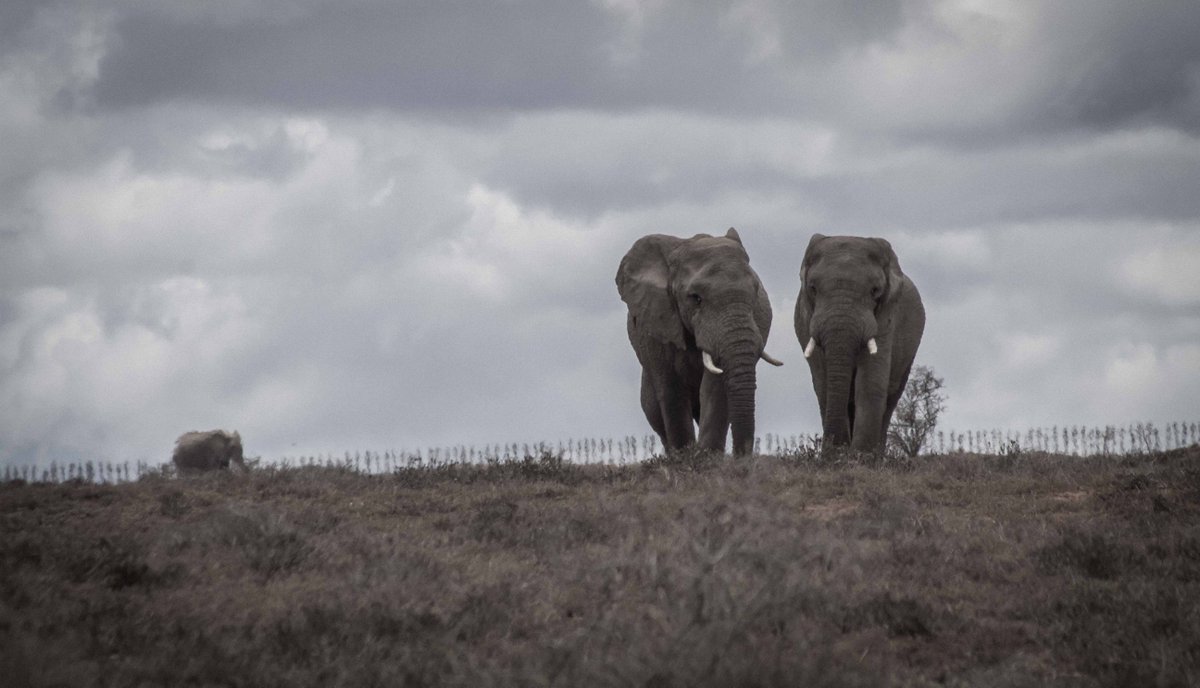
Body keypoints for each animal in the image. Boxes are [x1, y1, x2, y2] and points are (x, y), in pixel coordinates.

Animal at [616, 228, 783, 456]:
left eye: (755, 292)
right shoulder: (656, 327)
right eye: (696, 298)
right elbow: (671, 390)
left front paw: (706, 457)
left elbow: (714, 389)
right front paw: (686, 458)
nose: (741, 457)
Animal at [795, 234, 925, 451]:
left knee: (891, 398)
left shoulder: (886, 317)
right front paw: (837, 455)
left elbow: (870, 381)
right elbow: (824, 384)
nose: (833, 449)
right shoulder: (807, 321)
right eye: (813, 288)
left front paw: (859, 457)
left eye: (875, 291)